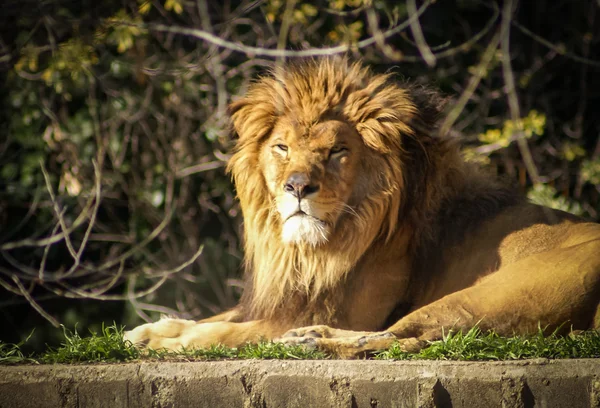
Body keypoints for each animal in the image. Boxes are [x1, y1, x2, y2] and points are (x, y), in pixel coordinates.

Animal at [125, 56, 600, 356]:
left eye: (337, 151)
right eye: (281, 147)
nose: (298, 187)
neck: (311, 252)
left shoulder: (340, 308)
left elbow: (225, 332)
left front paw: (167, 343)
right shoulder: (284, 301)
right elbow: (211, 318)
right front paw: (148, 330)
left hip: (491, 295)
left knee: (404, 337)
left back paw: (305, 342)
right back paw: (307, 336)